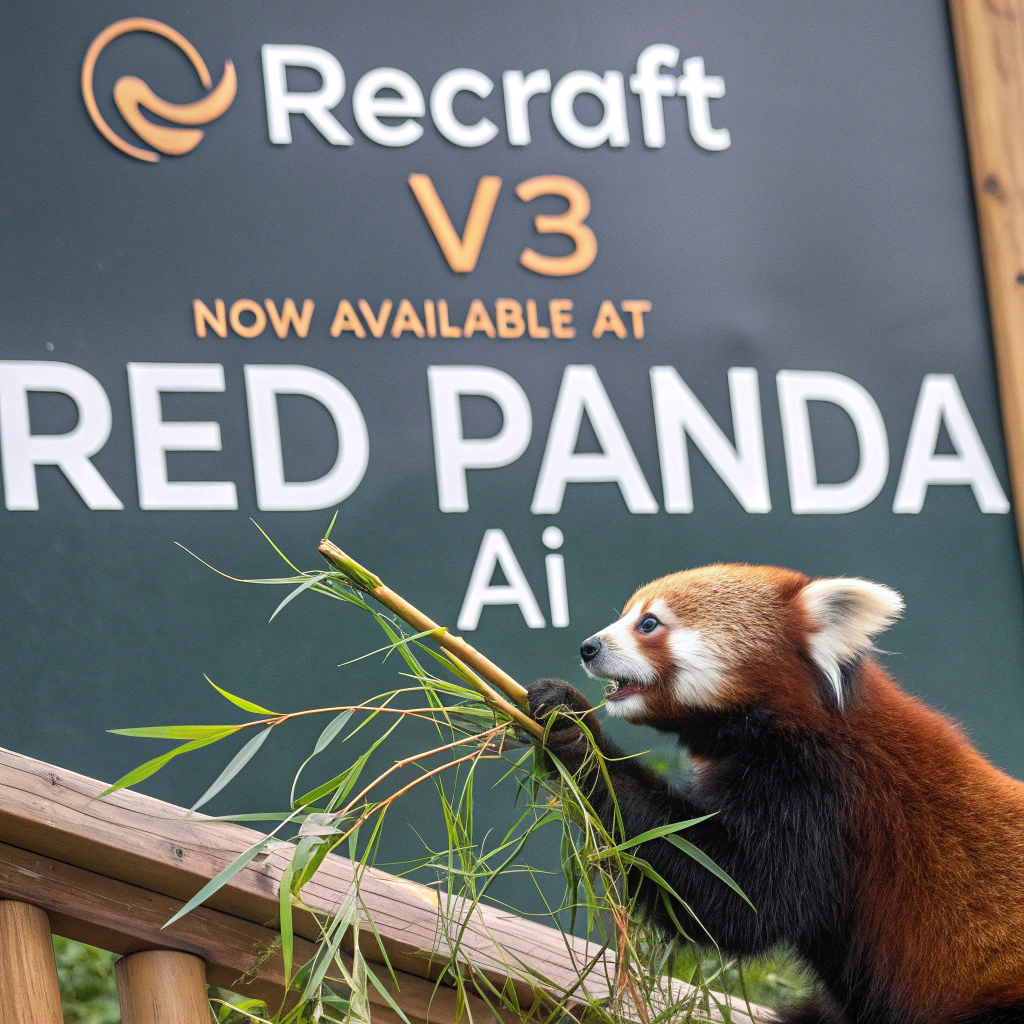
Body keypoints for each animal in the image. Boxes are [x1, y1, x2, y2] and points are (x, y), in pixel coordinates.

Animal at [527, 564, 1024, 1024]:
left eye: (648, 623)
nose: (588, 648)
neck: (796, 718)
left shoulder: (821, 792)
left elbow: (731, 895)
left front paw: (576, 732)